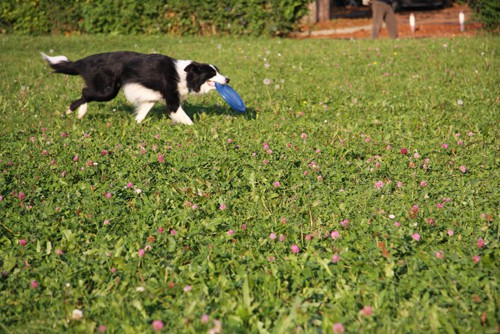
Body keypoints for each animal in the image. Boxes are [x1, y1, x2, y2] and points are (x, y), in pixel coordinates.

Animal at [41, 51, 229, 124]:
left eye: (218, 71)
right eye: (212, 73)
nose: (228, 79)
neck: (184, 74)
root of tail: (84, 61)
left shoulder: (151, 98)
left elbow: (142, 113)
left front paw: (136, 125)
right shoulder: (172, 99)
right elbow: (186, 119)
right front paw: (195, 128)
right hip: (107, 90)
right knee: (85, 92)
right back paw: (75, 111)